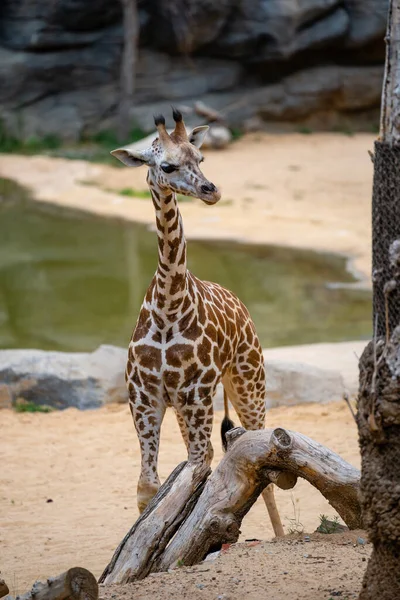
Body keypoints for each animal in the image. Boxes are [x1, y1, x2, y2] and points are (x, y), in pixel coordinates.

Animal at [110, 109, 284, 540]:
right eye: (166, 166)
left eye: (200, 158)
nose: (212, 190)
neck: (168, 306)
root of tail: (240, 302)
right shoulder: (145, 399)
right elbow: (149, 487)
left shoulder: (196, 394)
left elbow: (203, 471)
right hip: (189, 408)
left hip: (246, 383)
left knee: (263, 458)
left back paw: (280, 536)